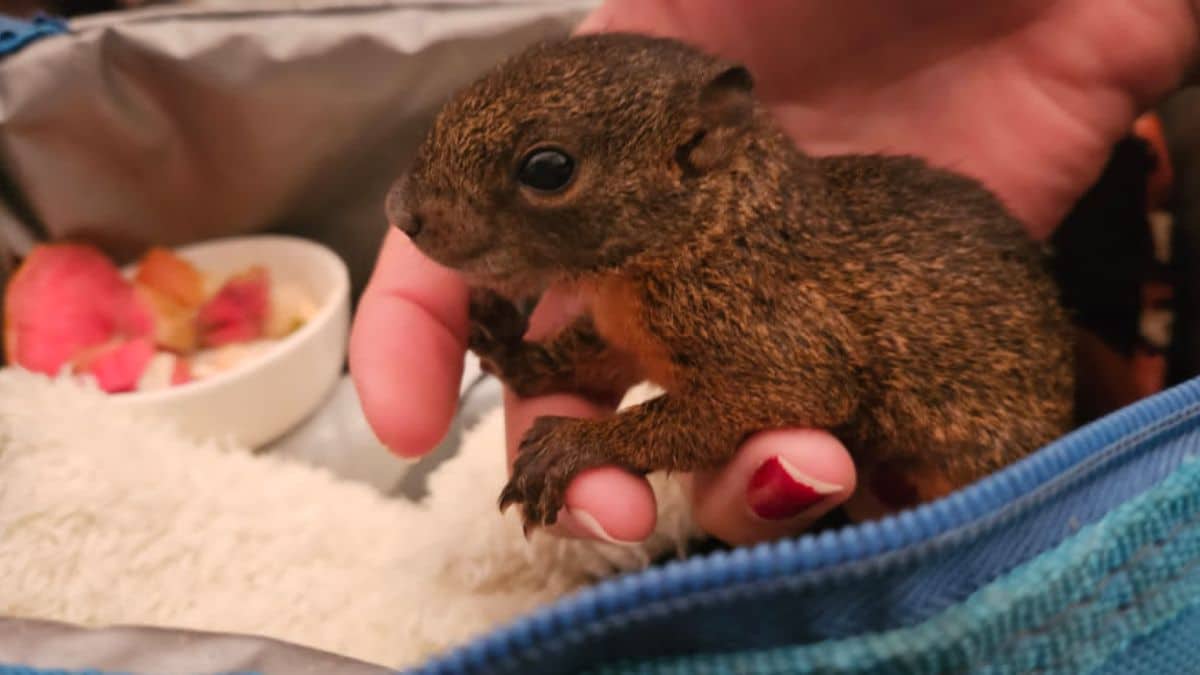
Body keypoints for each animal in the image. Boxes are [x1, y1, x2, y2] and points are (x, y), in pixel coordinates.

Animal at [386, 33, 1076, 533]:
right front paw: (511, 350)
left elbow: (745, 403)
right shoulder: (623, 337)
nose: (400, 212)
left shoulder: (774, 339)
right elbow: (578, 360)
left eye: (548, 168)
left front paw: (576, 444)